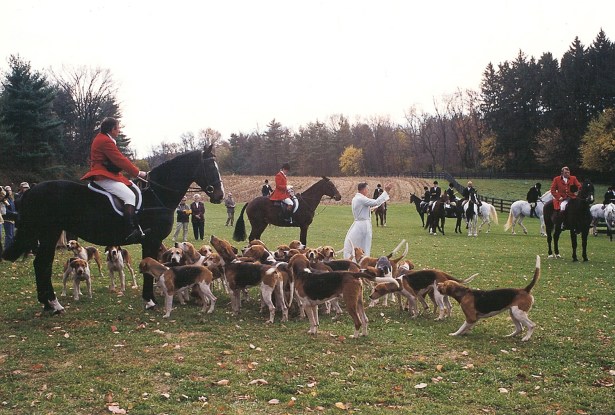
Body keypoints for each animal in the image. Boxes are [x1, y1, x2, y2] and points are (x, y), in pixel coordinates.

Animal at [2, 145, 224, 312]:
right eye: (210, 166)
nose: (220, 195)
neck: (157, 194)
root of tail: (32, 191)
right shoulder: (151, 240)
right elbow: (148, 269)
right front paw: (149, 301)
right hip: (49, 234)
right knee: (42, 265)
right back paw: (54, 304)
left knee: (40, 265)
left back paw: (48, 304)